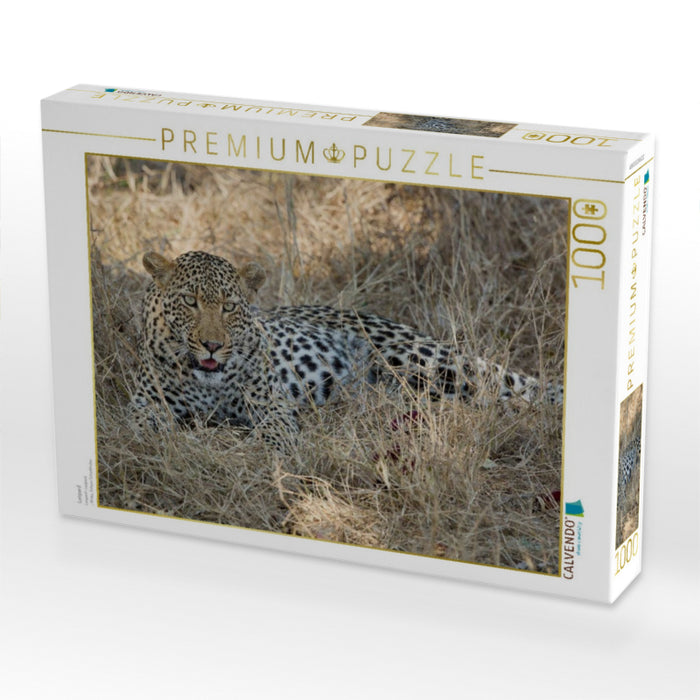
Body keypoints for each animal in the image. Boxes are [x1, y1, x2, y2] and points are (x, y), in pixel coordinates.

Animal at [131, 250, 563, 448]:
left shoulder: (271, 404)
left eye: (229, 307)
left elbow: (275, 432)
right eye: (190, 302)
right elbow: (144, 427)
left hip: (417, 359)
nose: (213, 345)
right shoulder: (144, 405)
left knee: (504, 388)